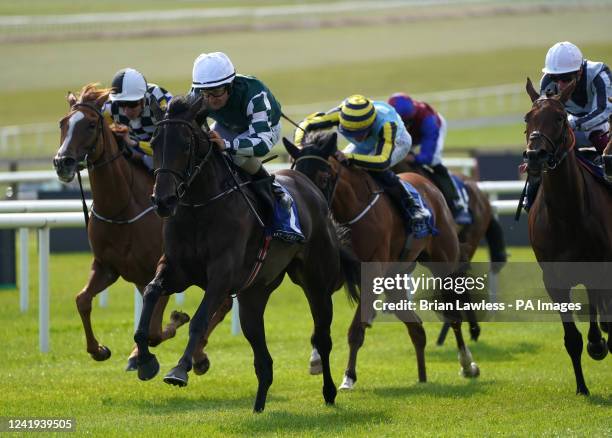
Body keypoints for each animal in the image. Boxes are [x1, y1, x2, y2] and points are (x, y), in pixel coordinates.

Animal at [284, 131, 480, 390]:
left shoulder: (371, 274)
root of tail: (428, 185)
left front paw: (348, 376)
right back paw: (422, 377)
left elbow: (356, 329)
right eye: (296, 173)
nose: (307, 207)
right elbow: (321, 319)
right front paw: (316, 359)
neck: (350, 212)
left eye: (324, 177)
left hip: (442, 262)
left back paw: (467, 364)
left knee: (453, 313)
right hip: (395, 279)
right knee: (416, 328)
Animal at [524, 77, 608, 396]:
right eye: (527, 118)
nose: (535, 156)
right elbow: (572, 338)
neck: (567, 214)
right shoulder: (554, 280)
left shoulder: (601, 268)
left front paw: (598, 344)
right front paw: (582, 387)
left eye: (560, 118)